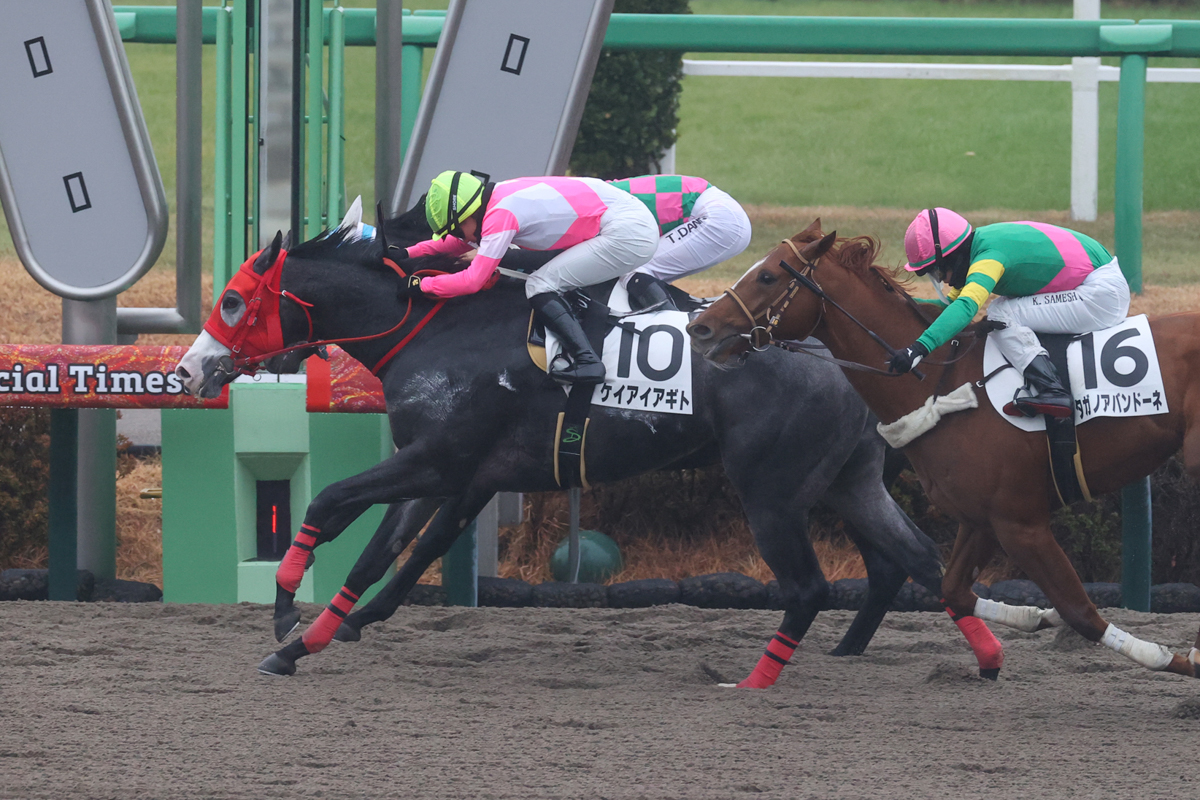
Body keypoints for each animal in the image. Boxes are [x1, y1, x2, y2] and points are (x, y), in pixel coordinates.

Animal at [174, 212, 949, 684]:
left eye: (234, 301)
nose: (189, 370)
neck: (437, 331)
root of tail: (841, 356)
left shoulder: (438, 462)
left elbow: (331, 505)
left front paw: (285, 612)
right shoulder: (454, 471)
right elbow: (383, 554)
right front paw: (314, 638)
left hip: (773, 492)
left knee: (817, 584)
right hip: (849, 480)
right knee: (911, 560)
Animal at [687, 219, 1200, 680]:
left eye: (768, 276)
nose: (700, 327)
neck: (944, 383)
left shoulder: (1022, 522)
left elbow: (1082, 613)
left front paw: (1178, 660)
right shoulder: (982, 518)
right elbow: (953, 589)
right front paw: (1031, 618)